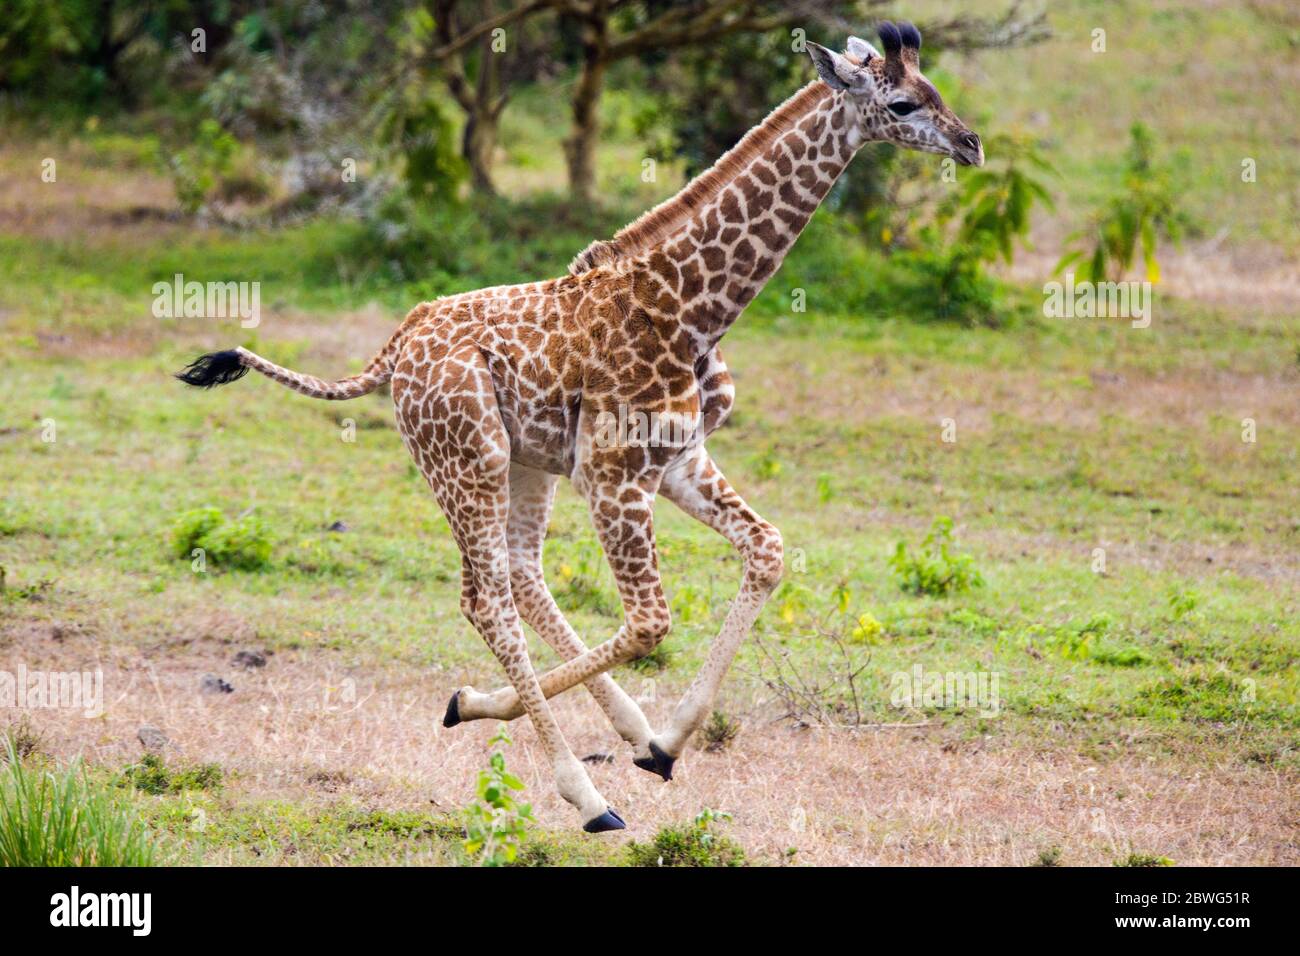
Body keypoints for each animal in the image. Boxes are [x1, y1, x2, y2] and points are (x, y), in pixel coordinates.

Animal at [178, 20, 977, 832]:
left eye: (936, 90)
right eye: (905, 103)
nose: (971, 143)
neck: (692, 307)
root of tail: (394, 350)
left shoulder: (676, 459)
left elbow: (768, 550)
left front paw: (661, 745)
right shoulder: (613, 474)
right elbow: (650, 622)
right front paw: (598, 743)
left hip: (522, 462)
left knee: (520, 575)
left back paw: (600, 726)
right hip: (467, 459)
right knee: (487, 598)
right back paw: (586, 795)